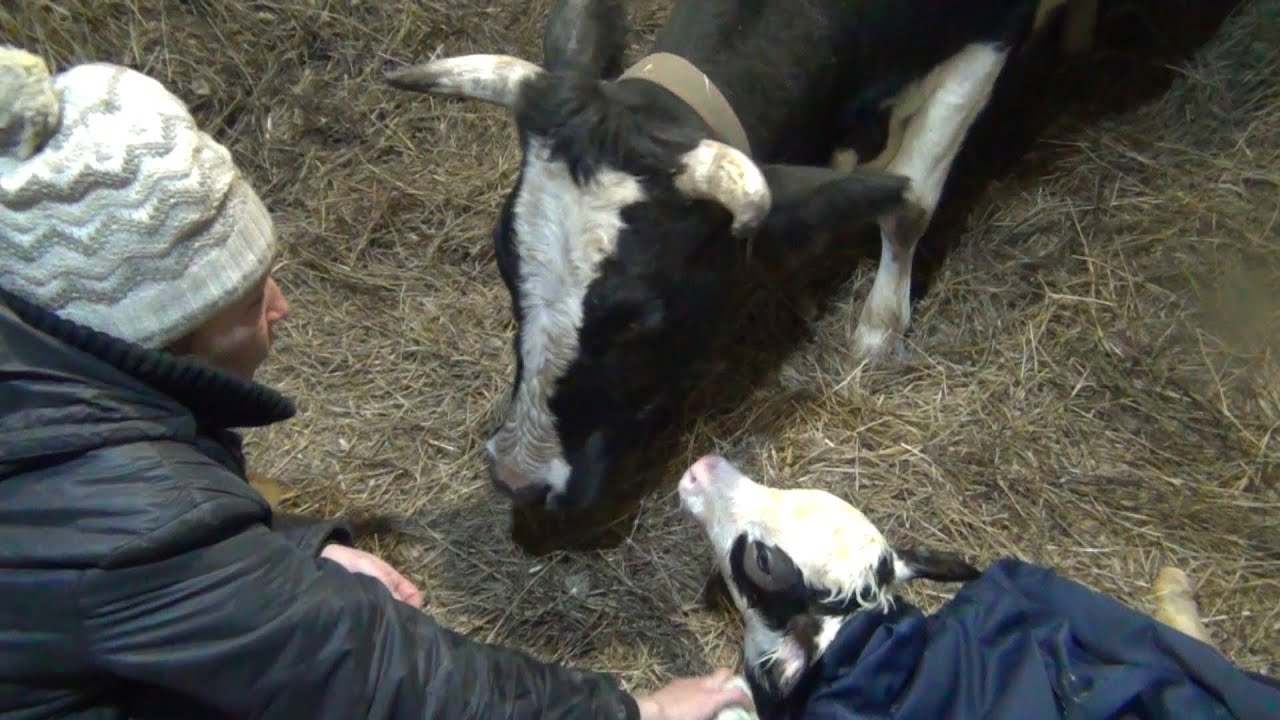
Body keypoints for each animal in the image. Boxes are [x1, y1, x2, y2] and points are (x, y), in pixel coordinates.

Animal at [382, 0, 1100, 512]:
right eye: (505, 265)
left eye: (643, 317)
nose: (518, 477)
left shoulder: (990, 36)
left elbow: (912, 196)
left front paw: (879, 330)